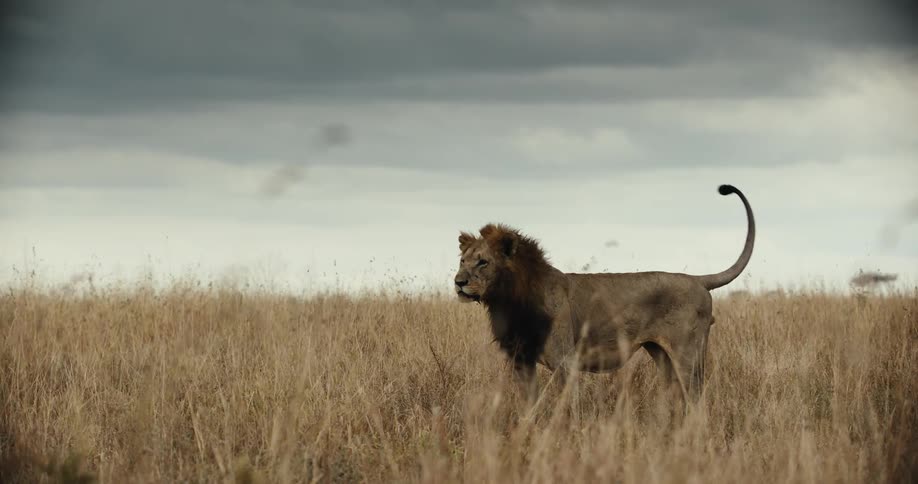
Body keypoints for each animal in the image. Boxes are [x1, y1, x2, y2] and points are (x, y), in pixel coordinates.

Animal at [454, 184, 755, 408]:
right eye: (462, 261)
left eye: (483, 262)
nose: (458, 283)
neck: (509, 301)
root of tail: (698, 280)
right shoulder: (521, 361)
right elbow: (530, 406)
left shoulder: (565, 362)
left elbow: (568, 407)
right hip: (662, 355)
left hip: (688, 353)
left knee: (696, 399)